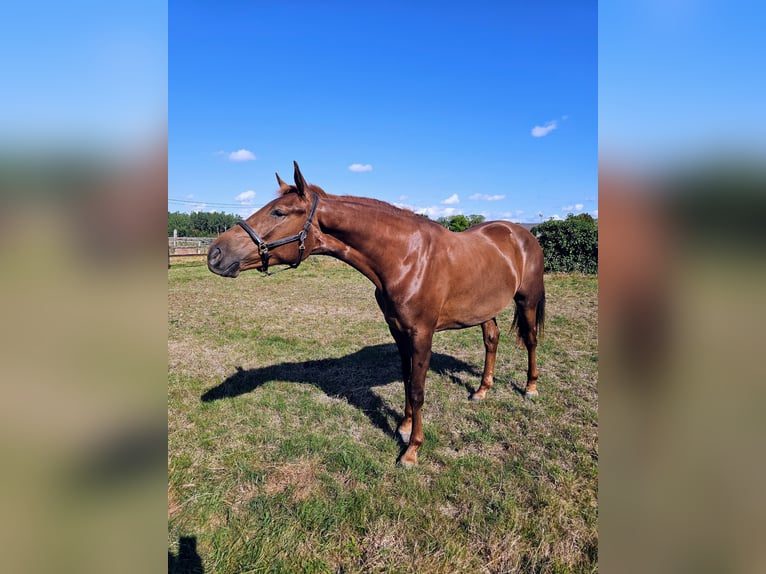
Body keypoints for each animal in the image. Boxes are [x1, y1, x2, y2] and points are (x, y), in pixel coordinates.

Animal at [207, 162, 545, 467]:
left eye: (278, 212)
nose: (215, 254)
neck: (406, 257)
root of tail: (522, 234)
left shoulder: (422, 334)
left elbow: (418, 389)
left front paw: (411, 450)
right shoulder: (398, 331)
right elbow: (407, 380)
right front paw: (405, 428)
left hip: (526, 300)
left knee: (530, 340)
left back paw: (530, 388)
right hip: (484, 308)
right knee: (492, 340)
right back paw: (482, 391)